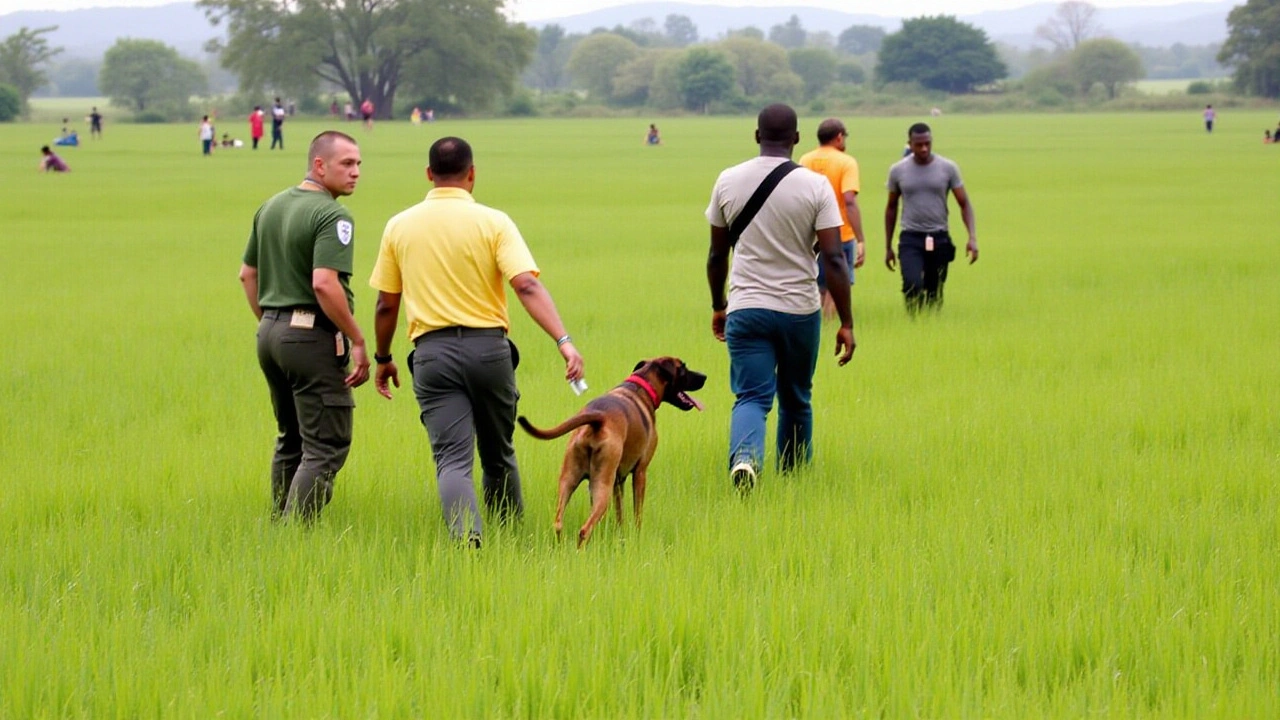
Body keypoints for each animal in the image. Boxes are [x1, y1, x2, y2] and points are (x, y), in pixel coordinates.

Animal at [514, 356, 706, 545]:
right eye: (683, 368)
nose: (704, 376)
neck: (644, 385)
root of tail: (597, 420)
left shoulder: (618, 481)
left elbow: (620, 513)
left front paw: (621, 537)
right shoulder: (640, 472)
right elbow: (637, 513)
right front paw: (637, 537)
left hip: (569, 480)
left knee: (558, 523)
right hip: (602, 486)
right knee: (584, 530)